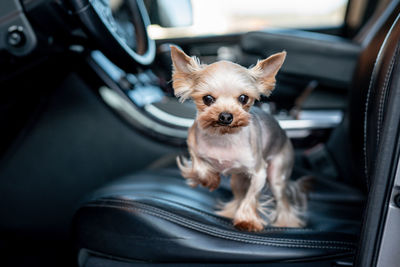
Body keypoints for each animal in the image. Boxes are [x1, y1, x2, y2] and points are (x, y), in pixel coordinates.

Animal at [171, 46, 310, 232]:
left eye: (243, 98)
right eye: (207, 99)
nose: (226, 116)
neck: (223, 137)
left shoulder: (259, 173)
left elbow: (251, 197)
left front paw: (247, 220)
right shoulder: (193, 145)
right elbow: (199, 166)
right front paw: (210, 179)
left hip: (277, 175)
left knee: (283, 203)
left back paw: (286, 224)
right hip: (238, 178)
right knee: (238, 195)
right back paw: (230, 212)